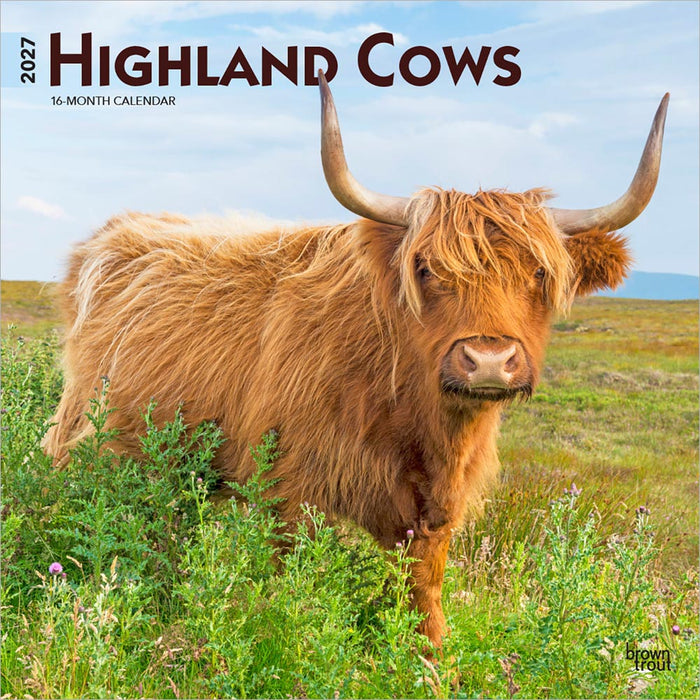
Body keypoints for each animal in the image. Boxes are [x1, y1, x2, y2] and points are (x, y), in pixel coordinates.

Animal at [43, 73, 668, 648]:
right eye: (426, 269)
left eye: (540, 272)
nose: (488, 360)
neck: (412, 415)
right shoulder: (286, 486)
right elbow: (288, 585)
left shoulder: (434, 509)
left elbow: (423, 591)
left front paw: (432, 661)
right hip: (90, 440)